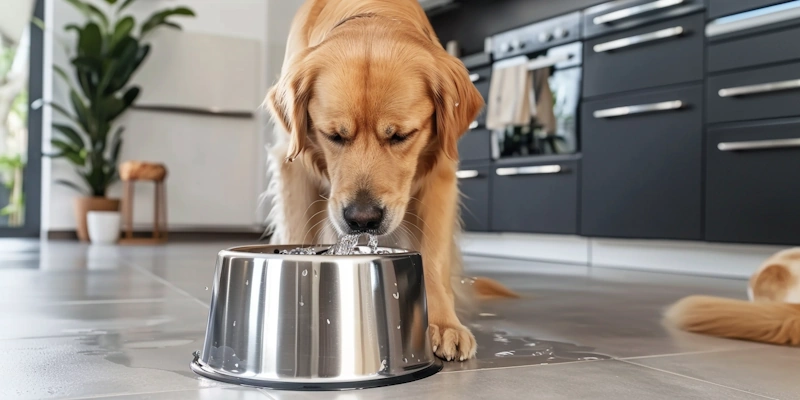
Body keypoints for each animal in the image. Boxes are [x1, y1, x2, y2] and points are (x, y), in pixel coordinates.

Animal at [264, 0, 512, 360]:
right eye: (333, 135)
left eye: (401, 135)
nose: (362, 219)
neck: (371, 12)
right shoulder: (292, 164)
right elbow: (296, 232)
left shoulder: (440, 169)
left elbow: (433, 258)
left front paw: (443, 322)